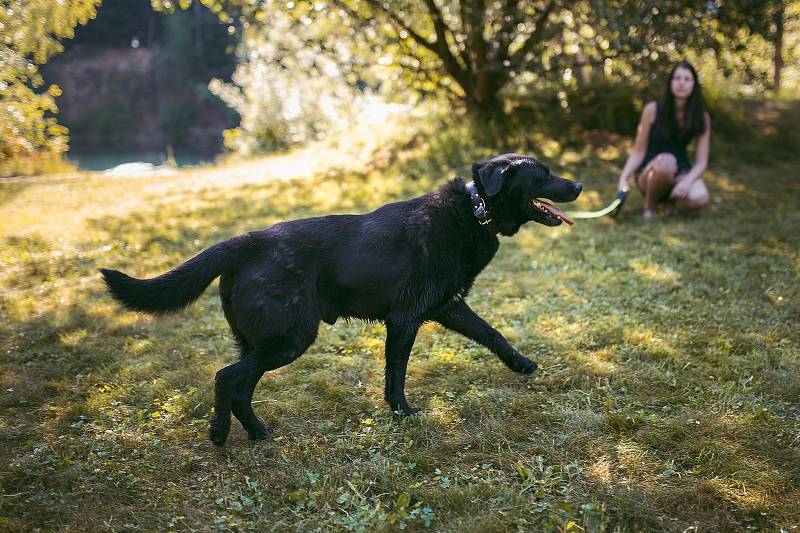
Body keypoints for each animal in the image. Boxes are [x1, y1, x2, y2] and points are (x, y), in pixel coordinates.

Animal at [101, 153, 580, 444]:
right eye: (542, 174)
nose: (576, 185)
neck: (475, 209)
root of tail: (246, 242)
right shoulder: (404, 320)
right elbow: (396, 375)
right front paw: (402, 412)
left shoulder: (449, 307)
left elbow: (493, 334)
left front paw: (521, 364)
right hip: (288, 340)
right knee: (225, 377)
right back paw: (220, 432)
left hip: (265, 343)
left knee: (240, 386)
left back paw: (257, 433)